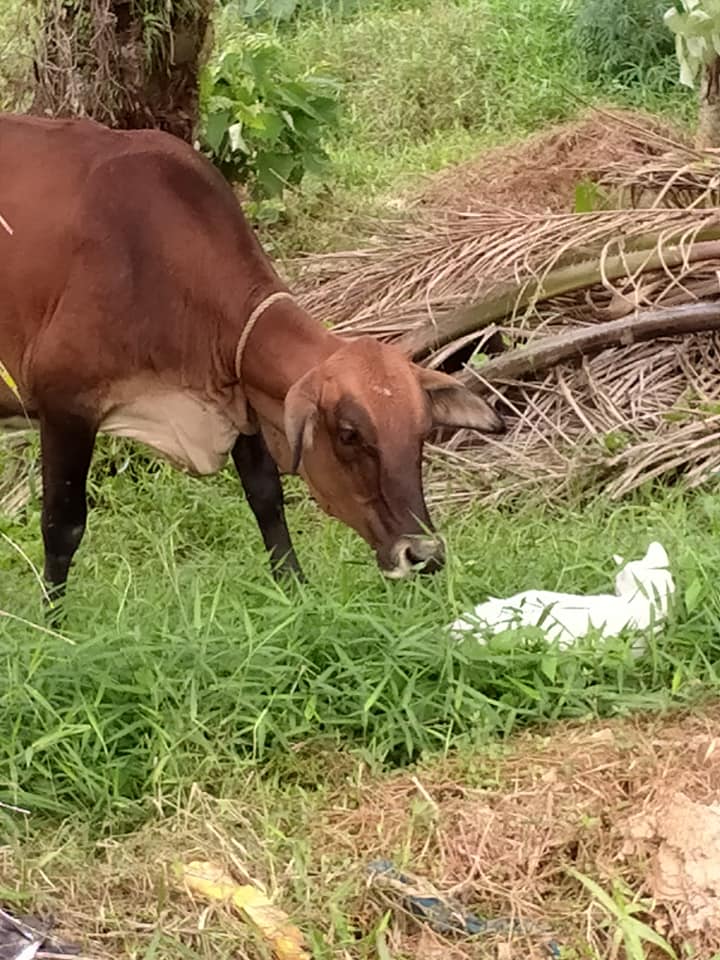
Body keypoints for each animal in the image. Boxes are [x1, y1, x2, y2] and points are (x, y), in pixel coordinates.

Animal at [0, 110, 506, 608]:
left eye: (423, 432)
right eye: (349, 434)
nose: (423, 554)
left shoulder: (239, 391)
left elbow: (266, 498)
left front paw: (296, 592)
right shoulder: (66, 404)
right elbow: (62, 526)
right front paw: (54, 621)